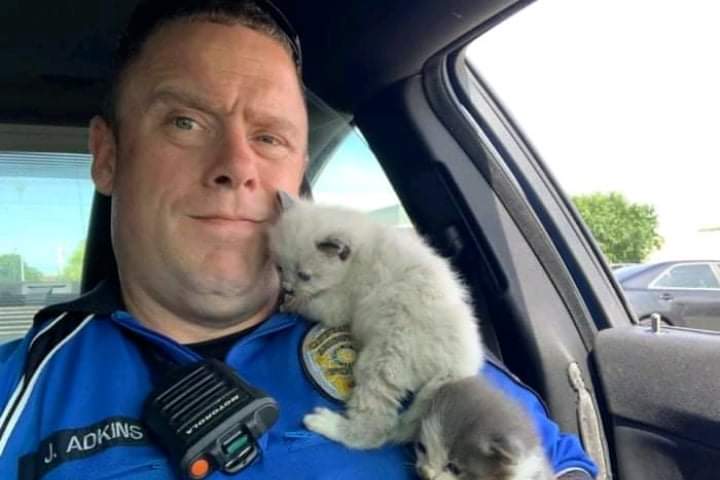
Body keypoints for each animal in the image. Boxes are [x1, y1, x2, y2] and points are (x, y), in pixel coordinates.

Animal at [268, 193, 484, 448]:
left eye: (305, 276)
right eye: (280, 267)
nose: (286, 288)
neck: (357, 256)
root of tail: (461, 365)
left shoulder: (338, 305)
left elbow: (311, 303)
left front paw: (290, 304)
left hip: (384, 360)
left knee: (376, 428)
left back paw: (327, 424)